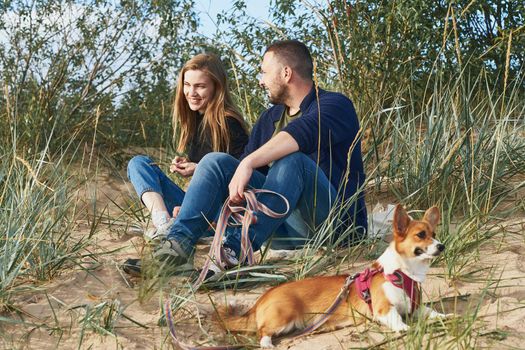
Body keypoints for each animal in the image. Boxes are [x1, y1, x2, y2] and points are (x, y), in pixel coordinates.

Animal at [216, 205, 446, 348]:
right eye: (421, 235)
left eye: (434, 234)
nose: (442, 246)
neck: (403, 272)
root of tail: (262, 297)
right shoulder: (384, 310)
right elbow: (398, 320)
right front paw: (406, 328)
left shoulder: (416, 308)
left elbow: (432, 312)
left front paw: (446, 317)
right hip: (284, 318)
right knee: (262, 332)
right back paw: (267, 344)